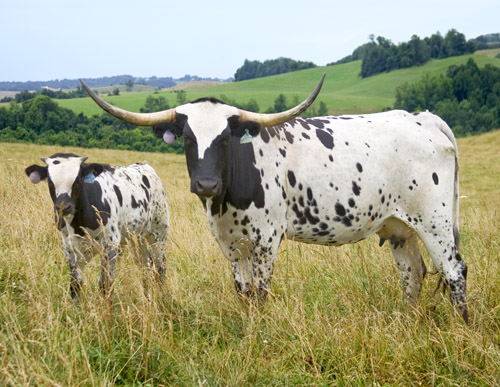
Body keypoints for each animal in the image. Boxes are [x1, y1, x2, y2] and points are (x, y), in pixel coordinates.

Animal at [25, 155, 170, 300]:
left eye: (77, 181)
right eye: (50, 182)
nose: (64, 207)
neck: (78, 224)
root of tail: (144, 166)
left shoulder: (110, 246)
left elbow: (106, 284)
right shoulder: (69, 248)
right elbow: (75, 284)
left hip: (158, 234)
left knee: (160, 268)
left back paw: (160, 298)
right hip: (137, 239)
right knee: (146, 267)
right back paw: (147, 297)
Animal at [82, 76, 468, 324]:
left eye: (225, 139)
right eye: (188, 139)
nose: (206, 184)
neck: (227, 199)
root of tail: (424, 118)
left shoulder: (267, 239)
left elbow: (262, 291)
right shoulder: (230, 244)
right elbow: (244, 291)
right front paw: (250, 330)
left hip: (436, 222)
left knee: (454, 272)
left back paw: (463, 328)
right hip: (400, 227)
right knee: (413, 273)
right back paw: (409, 324)